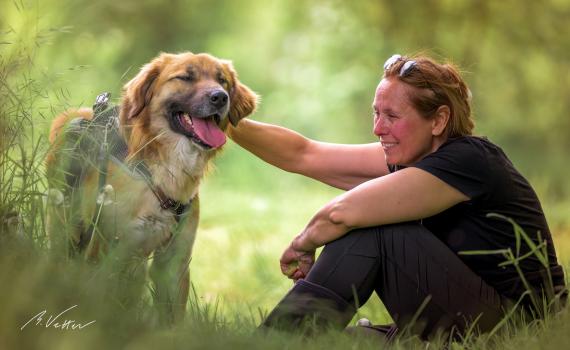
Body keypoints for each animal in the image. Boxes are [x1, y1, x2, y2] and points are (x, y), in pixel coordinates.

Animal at [46, 52, 258, 326]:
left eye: (222, 81)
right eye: (186, 77)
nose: (220, 97)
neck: (163, 169)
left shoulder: (174, 261)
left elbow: (172, 317)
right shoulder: (103, 247)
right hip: (68, 231)